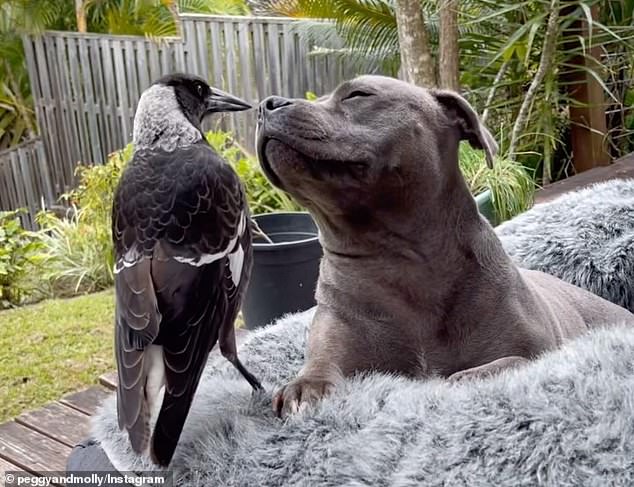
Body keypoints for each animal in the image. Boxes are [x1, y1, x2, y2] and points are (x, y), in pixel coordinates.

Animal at [253, 74, 632, 418]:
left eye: (358, 94)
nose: (266, 104)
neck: (398, 259)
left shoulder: (536, 351)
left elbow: (503, 363)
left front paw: (465, 378)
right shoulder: (336, 332)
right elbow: (321, 366)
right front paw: (306, 386)